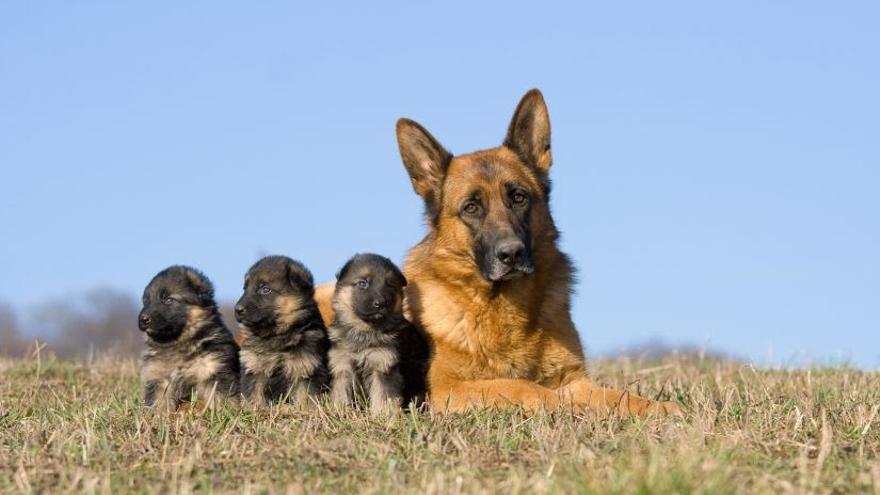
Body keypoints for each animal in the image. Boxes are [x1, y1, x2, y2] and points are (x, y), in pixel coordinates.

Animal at [138, 266, 241, 412]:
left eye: (168, 300)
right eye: (146, 302)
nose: (143, 319)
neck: (178, 342)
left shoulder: (213, 370)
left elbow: (221, 398)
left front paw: (226, 414)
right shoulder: (159, 378)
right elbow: (158, 402)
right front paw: (156, 416)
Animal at [234, 256, 330, 406]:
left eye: (265, 289)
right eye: (245, 288)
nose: (237, 309)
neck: (276, 334)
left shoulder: (304, 369)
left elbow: (305, 397)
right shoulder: (254, 368)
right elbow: (253, 396)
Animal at [326, 256, 430, 414]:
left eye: (390, 285)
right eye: (363, 283)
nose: (381, 303)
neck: (365, 330)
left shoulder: (382, 364)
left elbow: (382, 395)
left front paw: (383, 415)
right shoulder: (343, 366)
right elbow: (341, 393)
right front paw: (340, 412)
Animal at [396, 90, 684, 418]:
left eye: (519, 197)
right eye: (471, 207)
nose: (511, 253)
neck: (502, 306)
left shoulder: (574, 378)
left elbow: (616, 395)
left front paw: (656, 407)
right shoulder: (445, 390)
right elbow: (519, 386)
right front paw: (557, 404)